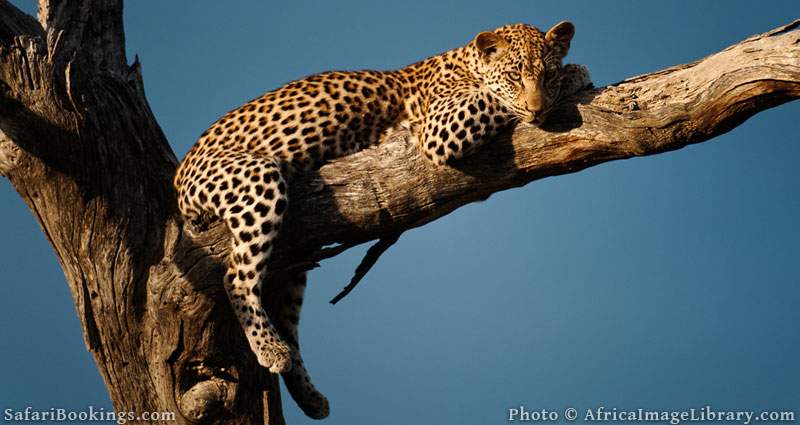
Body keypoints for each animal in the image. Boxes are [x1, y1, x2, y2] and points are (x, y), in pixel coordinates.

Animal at [173, 20, 588, 418]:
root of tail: (179, 177)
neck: (466, 61)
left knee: (287, 315)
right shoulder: (439, 127)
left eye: (546, 75)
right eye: (515, 76)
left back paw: (309, 395)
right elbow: (492, 98)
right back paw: (270, 348)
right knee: (236, 275)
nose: (538, 109)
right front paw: (575, 74)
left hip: (295, 252)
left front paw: (570, 75)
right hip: (256, 178)